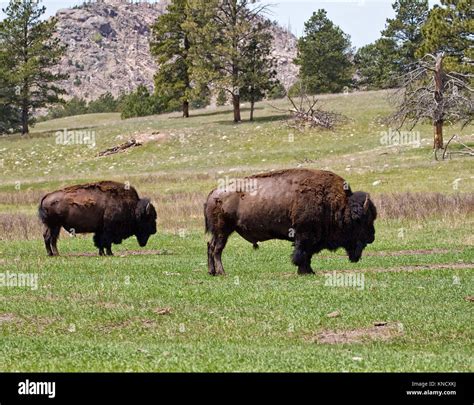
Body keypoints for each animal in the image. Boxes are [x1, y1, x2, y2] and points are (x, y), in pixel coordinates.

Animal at [204, 169, 378, 276]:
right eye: (363, 220)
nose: (372, 237)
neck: (338, 204)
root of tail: (213, 193)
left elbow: (307, 255)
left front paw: (309, 271)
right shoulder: (304, 235)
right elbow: (302, 253)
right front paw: (305, 271)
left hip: (219, 232)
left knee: (210, 246)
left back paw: (212, 272)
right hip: (223, 231)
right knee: (217, 249)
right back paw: (222, 272)